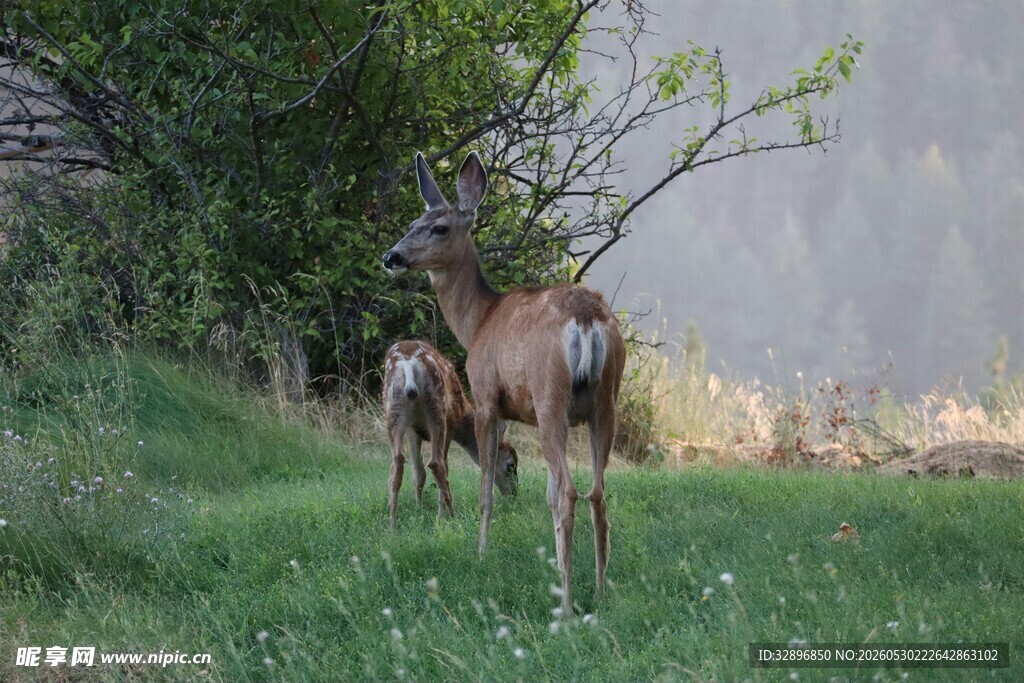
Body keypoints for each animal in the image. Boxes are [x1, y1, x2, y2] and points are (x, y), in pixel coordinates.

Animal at [383, 339, 519, 528]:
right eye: (511, 465)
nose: (514, 493)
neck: (462, 415)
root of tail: (408, 364)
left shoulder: (412, 430)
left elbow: (417, 472)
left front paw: (419, 507)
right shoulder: (450, 424)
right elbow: (444, 467)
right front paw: (440, 517)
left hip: (394, 410)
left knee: (398, 462)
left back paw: (392, 522)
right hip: (437, 409)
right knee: (436, 464)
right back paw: (453, 516)